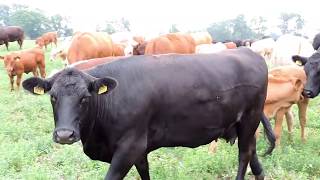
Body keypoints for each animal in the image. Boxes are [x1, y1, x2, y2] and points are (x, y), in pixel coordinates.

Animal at [22, 48, 276, 180]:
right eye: (53, 97)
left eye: (85, 98)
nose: (64, 135)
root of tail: (247, 51)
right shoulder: (140, 149)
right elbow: (144, 172)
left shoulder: (129, 147)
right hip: (242, 124)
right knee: (252, 153)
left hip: (250, 119)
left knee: (244, 154)